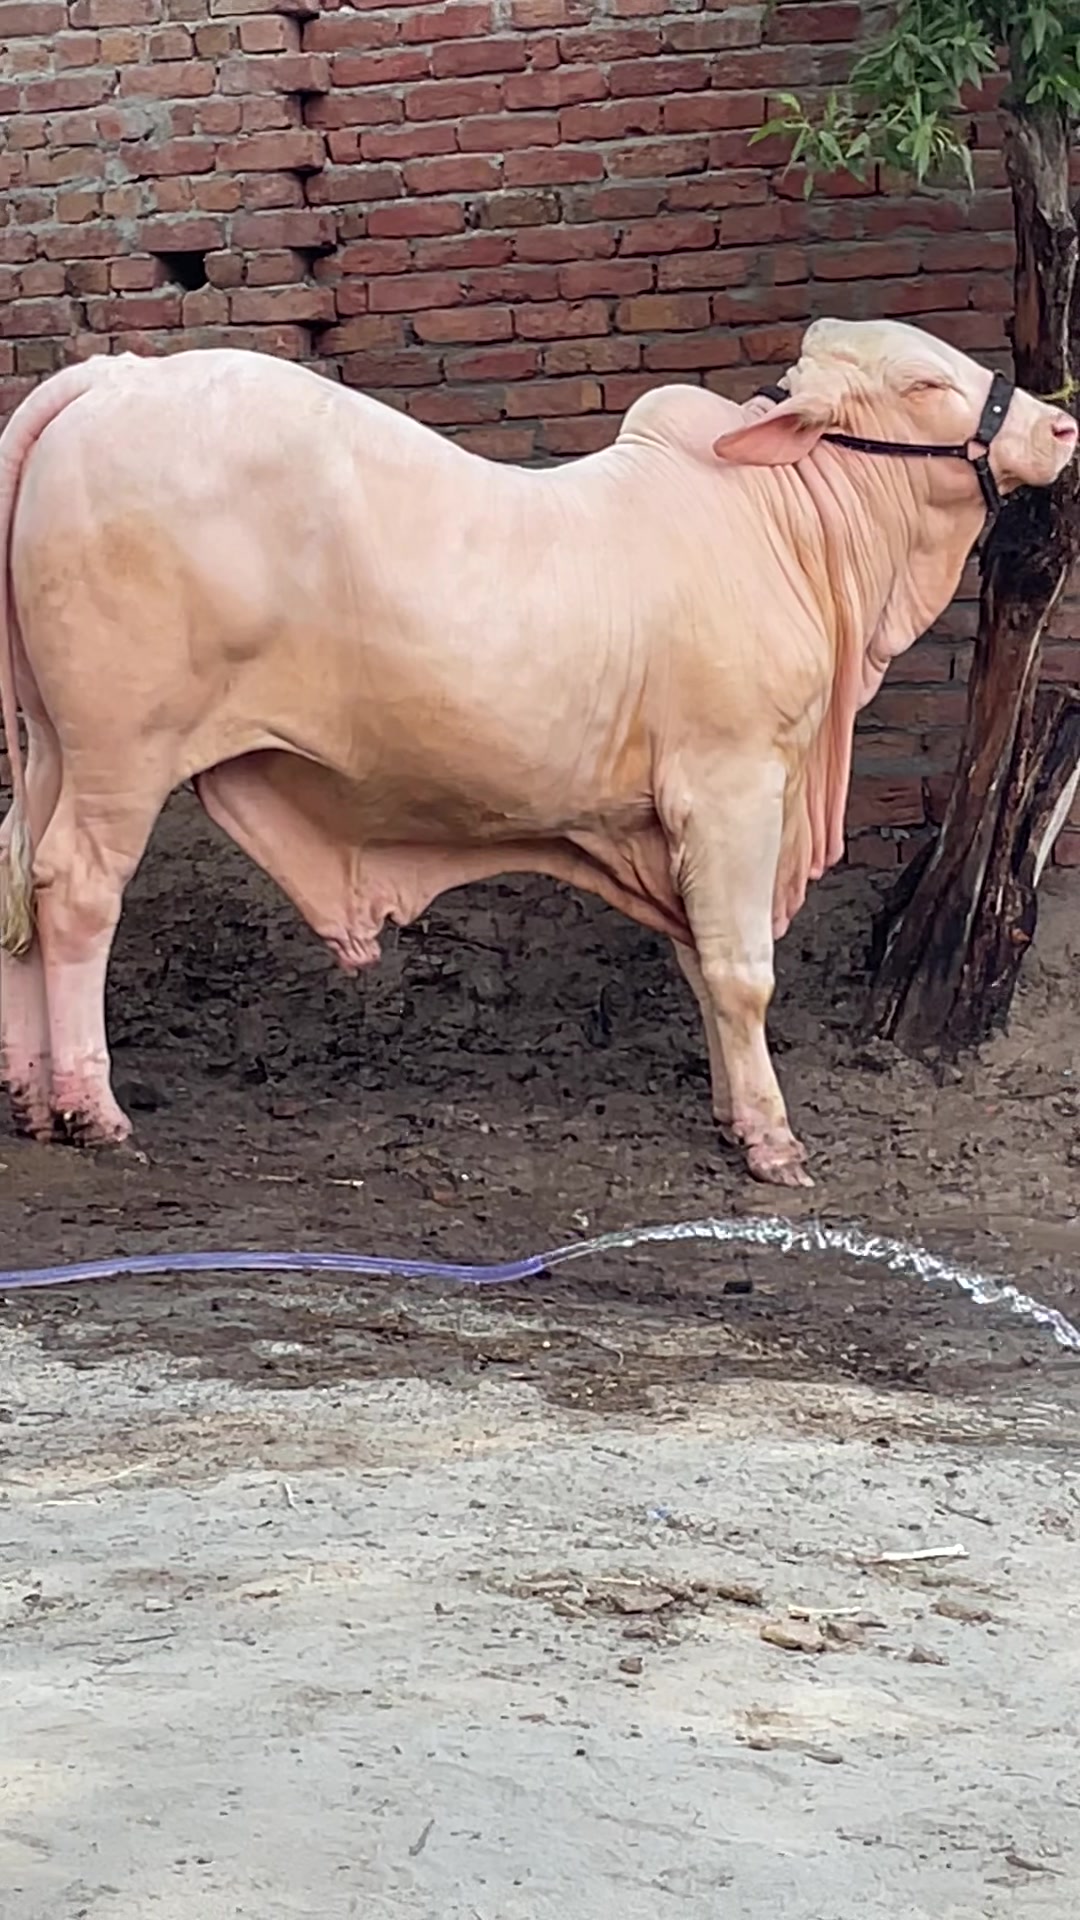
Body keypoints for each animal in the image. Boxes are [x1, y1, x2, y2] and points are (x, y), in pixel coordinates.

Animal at [0, 318, 1074, 1187]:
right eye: (925, 383)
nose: (1059, 430)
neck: (784, 526)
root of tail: (113, 378)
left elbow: (697, 959)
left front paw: (733, 1116)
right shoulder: (731, 787)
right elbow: (740, 968)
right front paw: (772, 1143)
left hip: (52, 744)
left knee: (20, 881)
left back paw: (30, 1095)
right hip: (123, 748)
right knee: (77, 889)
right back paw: (92, 1109)